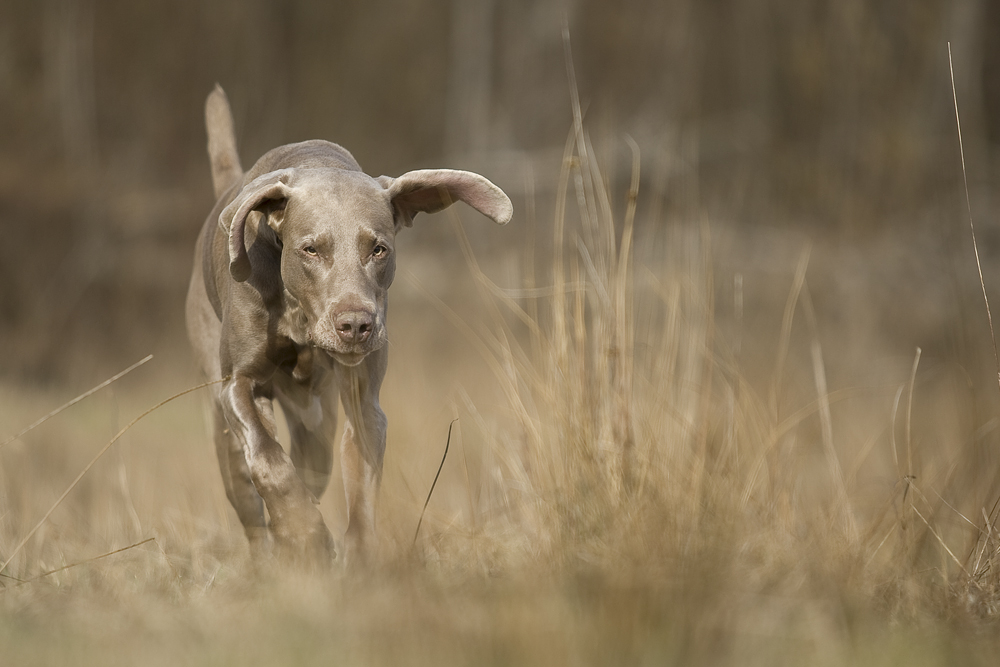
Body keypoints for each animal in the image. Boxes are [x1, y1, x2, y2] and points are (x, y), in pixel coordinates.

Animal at [187, 82, 512, 564]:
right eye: (310, 249)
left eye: (378, 249)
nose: (357, 326)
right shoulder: (238, 384)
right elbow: (267, 458)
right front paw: (303, 532)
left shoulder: (363, 400)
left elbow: (360, 477)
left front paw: (354, 556)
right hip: (226, 427)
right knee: (248, 492)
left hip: (316, 425)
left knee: (314, 463)